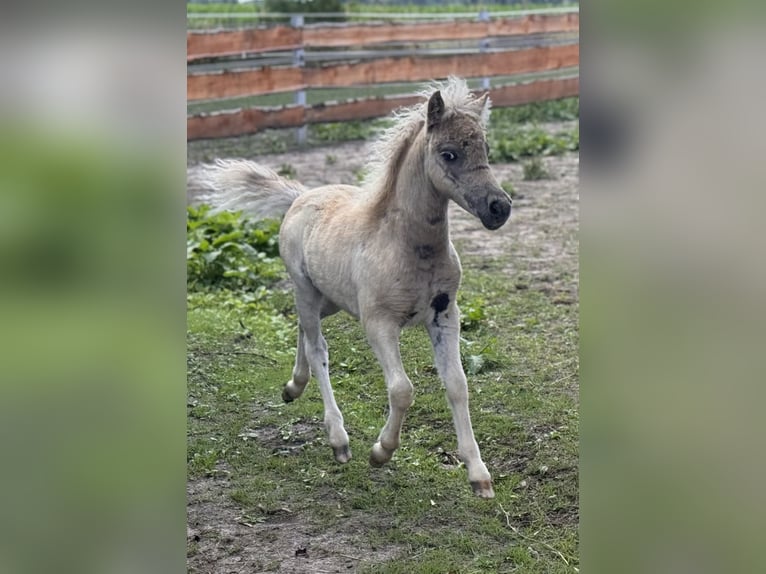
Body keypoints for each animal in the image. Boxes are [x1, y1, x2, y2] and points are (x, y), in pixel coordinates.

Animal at [200, 77, 511, 498]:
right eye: (448, 154)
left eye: (485, 150)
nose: (499, 208)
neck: (409, 245)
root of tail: (301, 195)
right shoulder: (378, 322)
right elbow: (402, 389)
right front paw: (380, 451)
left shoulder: (446, 315)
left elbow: (458, 386)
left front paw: (479, 474)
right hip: (305, 288)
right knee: (318, 348)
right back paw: (338, 439)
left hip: (329, 297)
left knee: (303, 331)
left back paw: (293, 387)